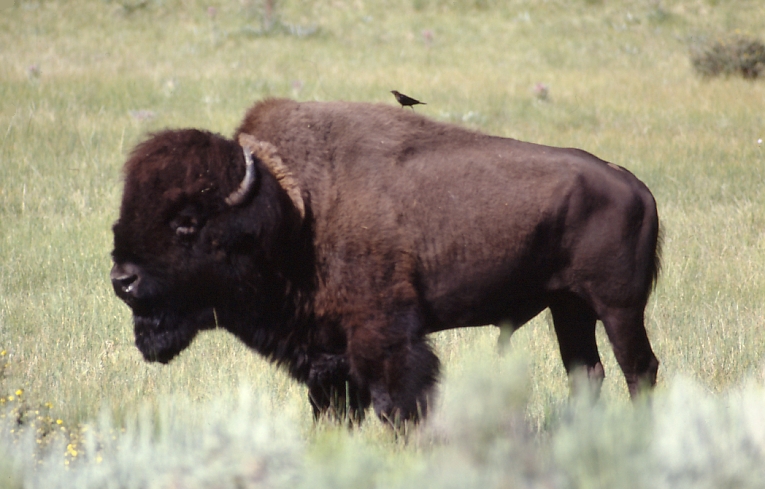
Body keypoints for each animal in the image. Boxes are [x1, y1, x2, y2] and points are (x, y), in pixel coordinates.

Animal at [110, 97, 660, 422]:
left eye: (186, 222)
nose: (122, 280)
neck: (292, 211)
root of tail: (632, 183)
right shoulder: (328, 356)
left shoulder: (385, 336)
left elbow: (400, 402)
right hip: (569, 307)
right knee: (587, 373)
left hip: (618, 308)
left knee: (640, 368)